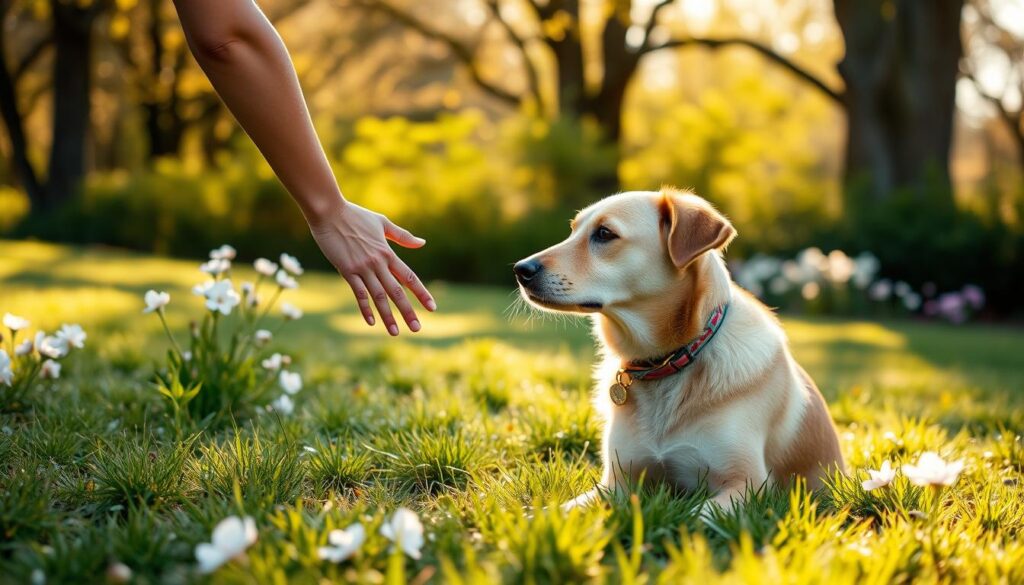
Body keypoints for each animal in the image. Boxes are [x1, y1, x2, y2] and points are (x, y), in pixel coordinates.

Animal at [516, 188, 843, 512]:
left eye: (605, 233)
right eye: (572, 231)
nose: (521, 269)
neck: (665, 362)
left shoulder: (748, 485)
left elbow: (697, 516)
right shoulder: (616, 484)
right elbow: (561, 511)